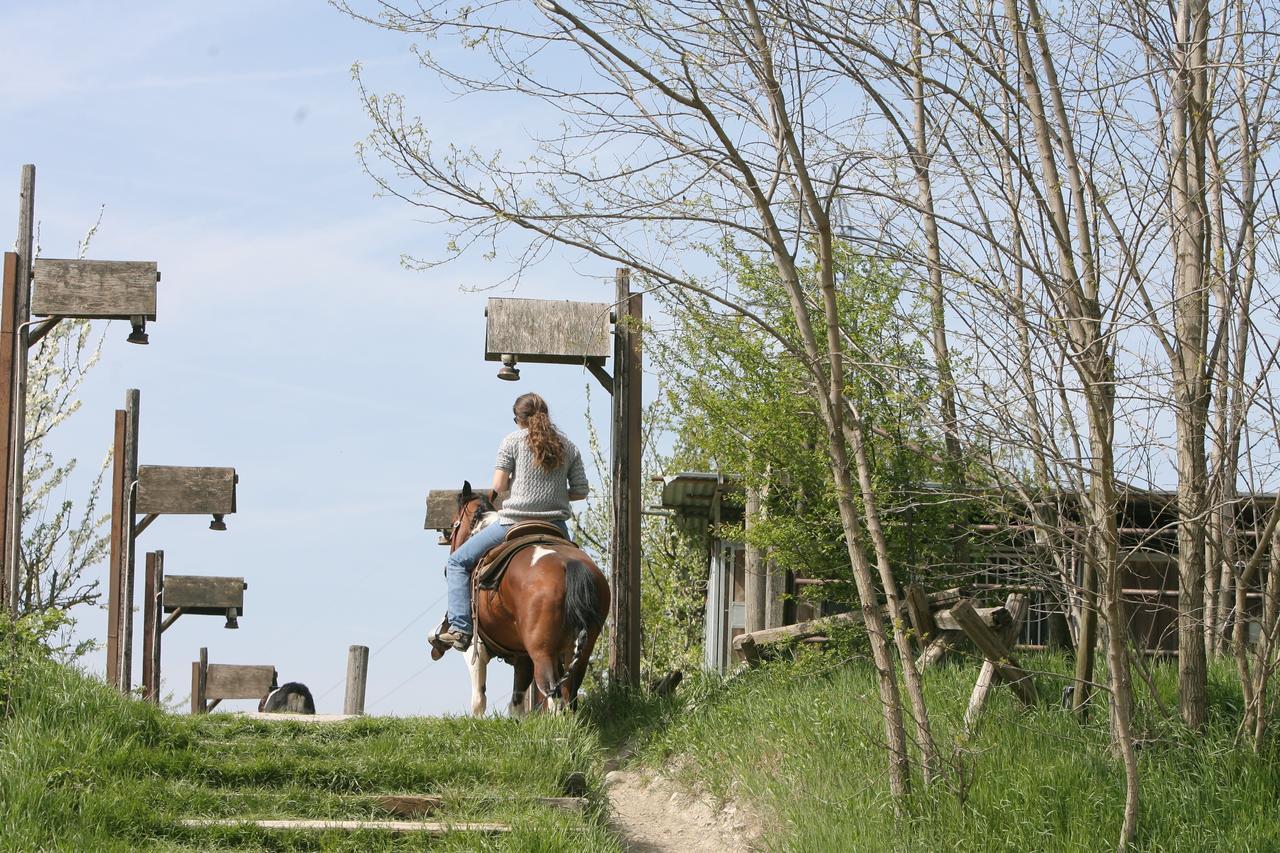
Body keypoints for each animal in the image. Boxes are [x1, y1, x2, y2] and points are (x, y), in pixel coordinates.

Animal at [448, 481, 611, 712]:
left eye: (454, 523)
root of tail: (570, 564)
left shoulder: (475, 647)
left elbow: (479, 698)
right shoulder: (522, 656)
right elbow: (516, 702)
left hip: (542, 652)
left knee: (553, 694)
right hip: (580, 650)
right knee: (570, 693)